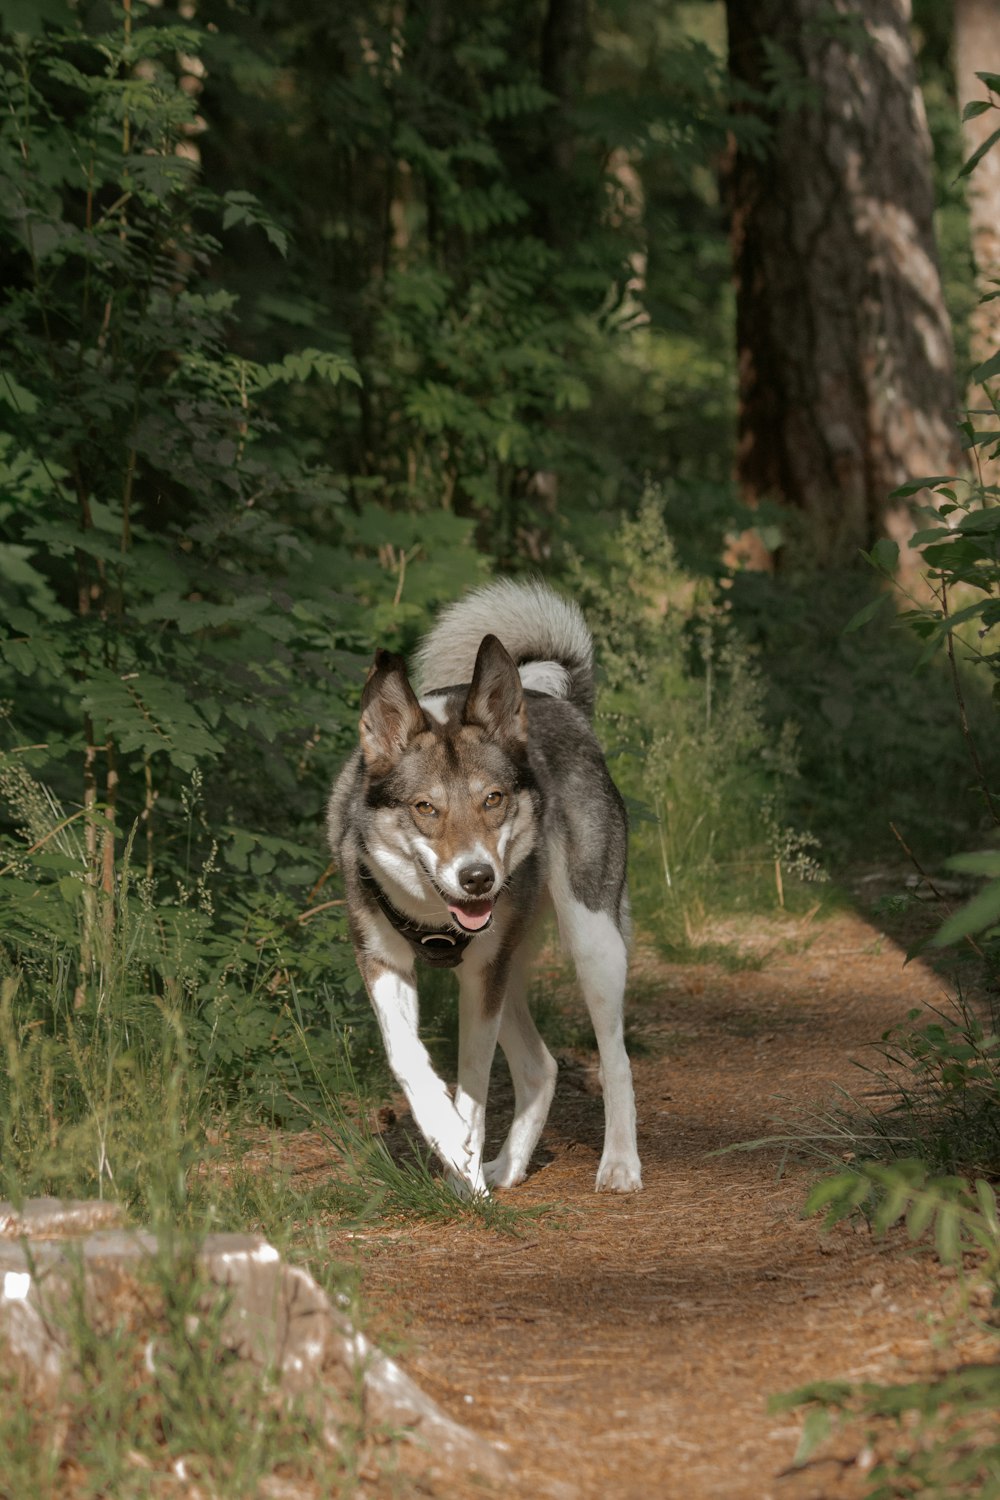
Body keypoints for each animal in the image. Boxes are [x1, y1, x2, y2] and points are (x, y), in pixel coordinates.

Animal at [328, 579, 641, 1200]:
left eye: (493, 799)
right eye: (425, 808)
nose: (479, 878)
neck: (434, 918)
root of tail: (563, 703)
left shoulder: (480, 976)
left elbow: (473, 1082)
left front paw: (463, 1159)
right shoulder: (382, 962)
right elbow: (407, 1058)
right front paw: (450, 1141)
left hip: (591, 940)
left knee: (615, 1057)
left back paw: (619, 1163)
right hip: (509, 967)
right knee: (541, 1066)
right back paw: (508, 1167)